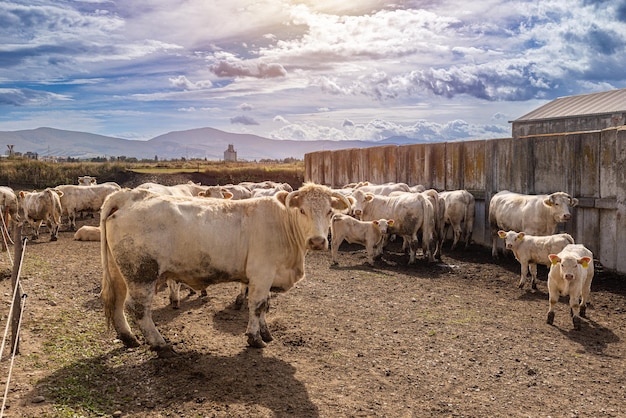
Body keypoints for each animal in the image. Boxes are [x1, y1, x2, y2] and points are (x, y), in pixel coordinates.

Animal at [100, 183, 348, 356]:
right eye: (303, 211)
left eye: (329, 211)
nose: (317, 241)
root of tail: (129, 195)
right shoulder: (262, 273)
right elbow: (257, 306)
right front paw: (255, 338)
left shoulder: (265, 278)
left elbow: (265, 306)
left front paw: (266, 333)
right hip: (142, 272)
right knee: (138, 308)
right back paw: (161, 346)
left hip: (120, 272)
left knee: (118, 301)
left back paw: (129, 338)